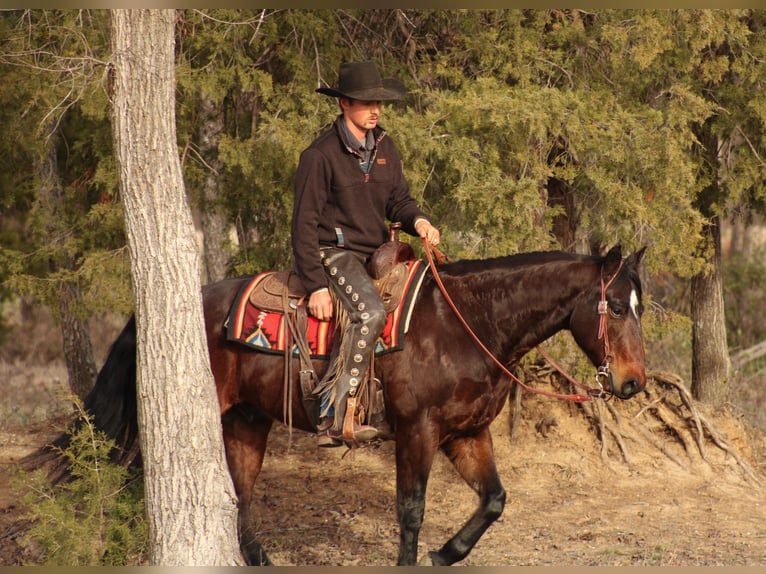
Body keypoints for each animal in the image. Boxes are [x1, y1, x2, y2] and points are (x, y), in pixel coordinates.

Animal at [53, 243, 647, 566]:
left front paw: (444, 554)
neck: (467, 324)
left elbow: (495, 501)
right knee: (140, 477)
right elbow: (410, 510)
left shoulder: (468, 433)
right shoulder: (416, 431)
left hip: (246, 421)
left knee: (238, 497)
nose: (633, 383)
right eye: (617, 307)